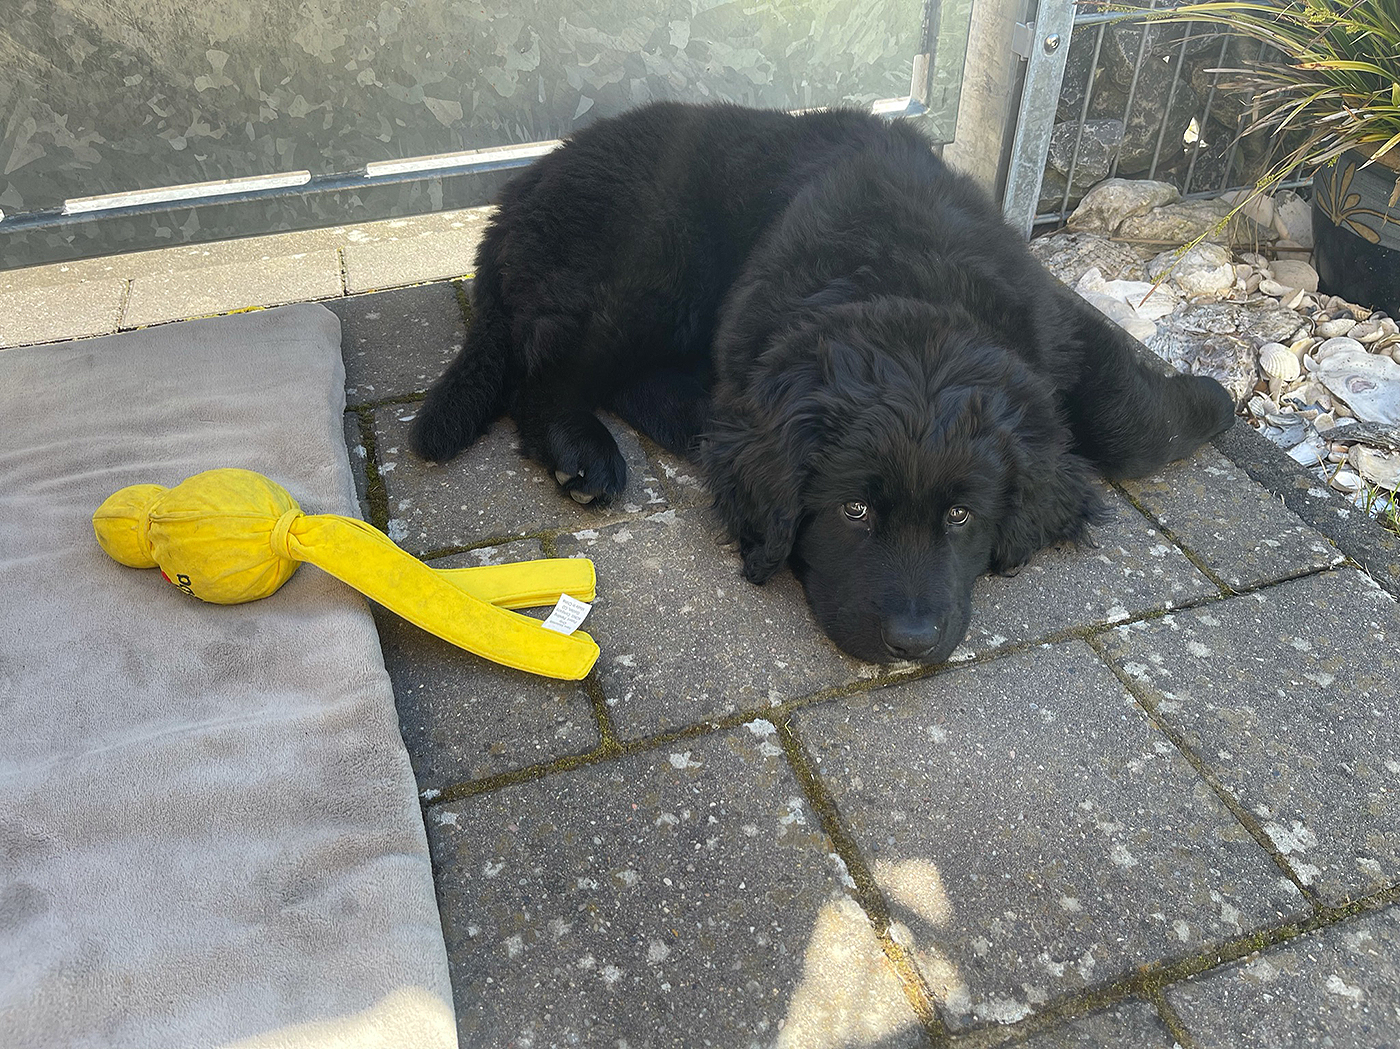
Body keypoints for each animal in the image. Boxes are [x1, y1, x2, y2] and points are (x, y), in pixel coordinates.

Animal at [411, 101, 1234, 664]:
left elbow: (1130, 422)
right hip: (649, 255)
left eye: (962, 517)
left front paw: (1210, 401)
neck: (905, 277)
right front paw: (1220, 399)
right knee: (547, 366)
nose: (912, 641)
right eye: (855, 511)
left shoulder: (1050, 318)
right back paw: (581, 453)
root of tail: (519, 193)